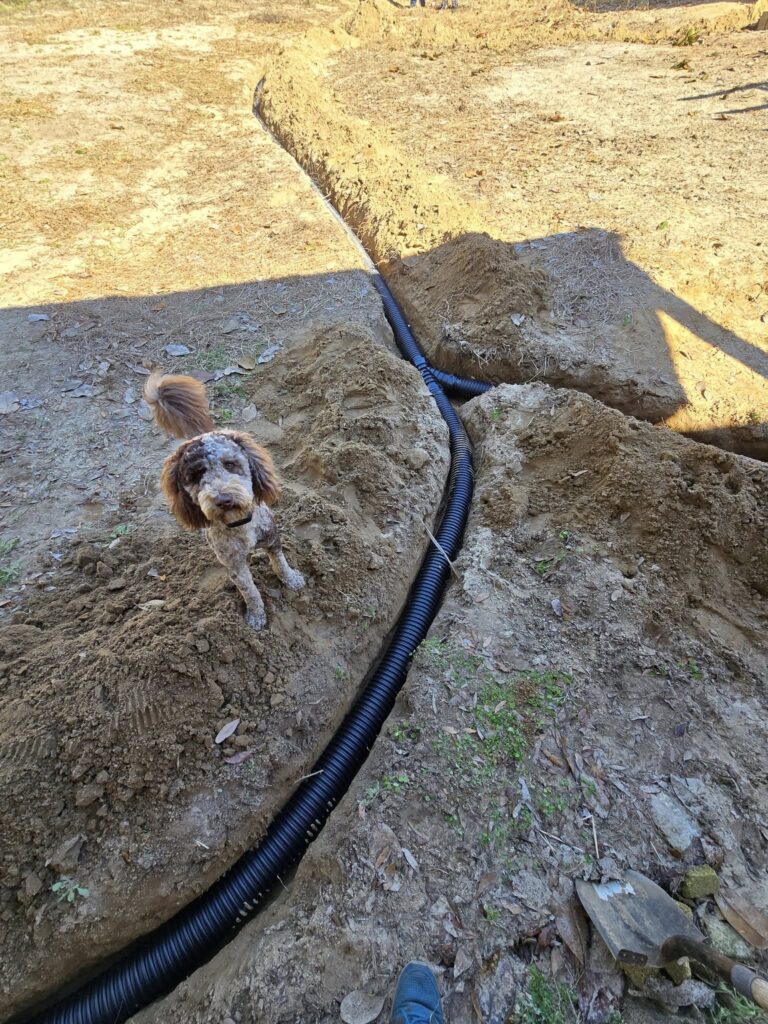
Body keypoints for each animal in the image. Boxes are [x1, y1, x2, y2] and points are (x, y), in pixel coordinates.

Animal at [144, 372, 303, 626]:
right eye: (196, 475)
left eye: (230, 464)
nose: (224, 499)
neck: (240, 524)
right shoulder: (233, 562)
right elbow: (249, 590)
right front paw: (256, 615)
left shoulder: (271, 536)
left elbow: (280, 563)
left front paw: (293, 580)